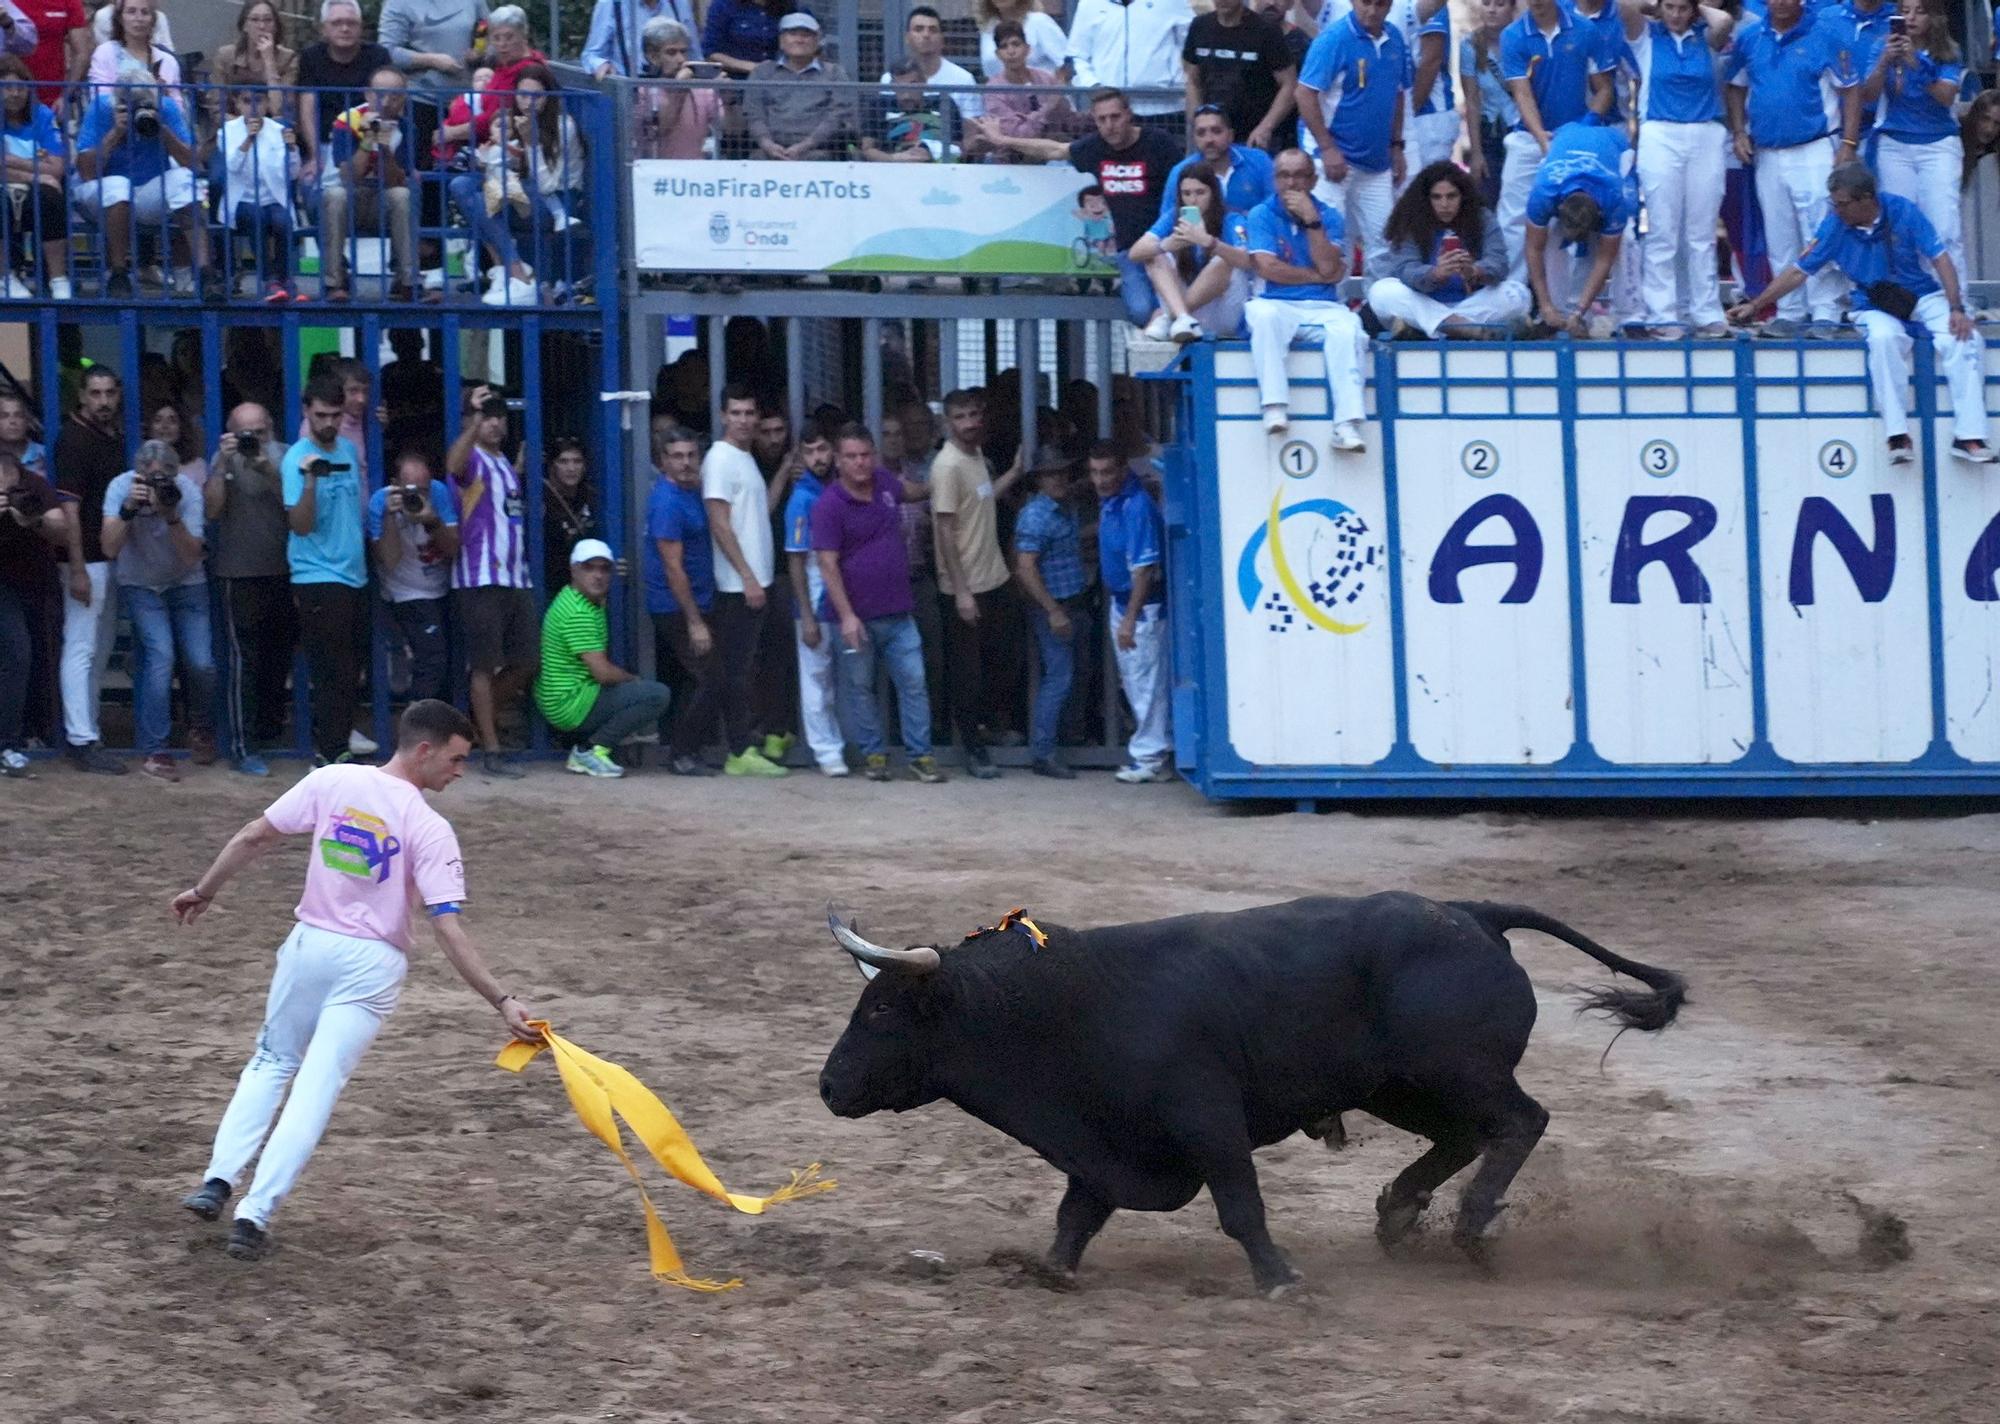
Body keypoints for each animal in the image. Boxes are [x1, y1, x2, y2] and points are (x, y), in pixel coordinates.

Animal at [820, 896, 1680, 1296]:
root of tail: (1473, 915)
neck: (1060, 1005)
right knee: (1467, 1136)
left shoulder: (1206, 1119)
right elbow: (1077, 1212)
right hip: (1398, 1087)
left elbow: (1240, 1206)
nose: (827, 1086)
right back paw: (1400, 1214)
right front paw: (1050, 1270)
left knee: (1521, 1121)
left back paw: (1469, 1227)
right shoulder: (1106, 1141)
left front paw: (1279, 1278)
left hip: (1456, 1071)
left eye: (883, 1009)